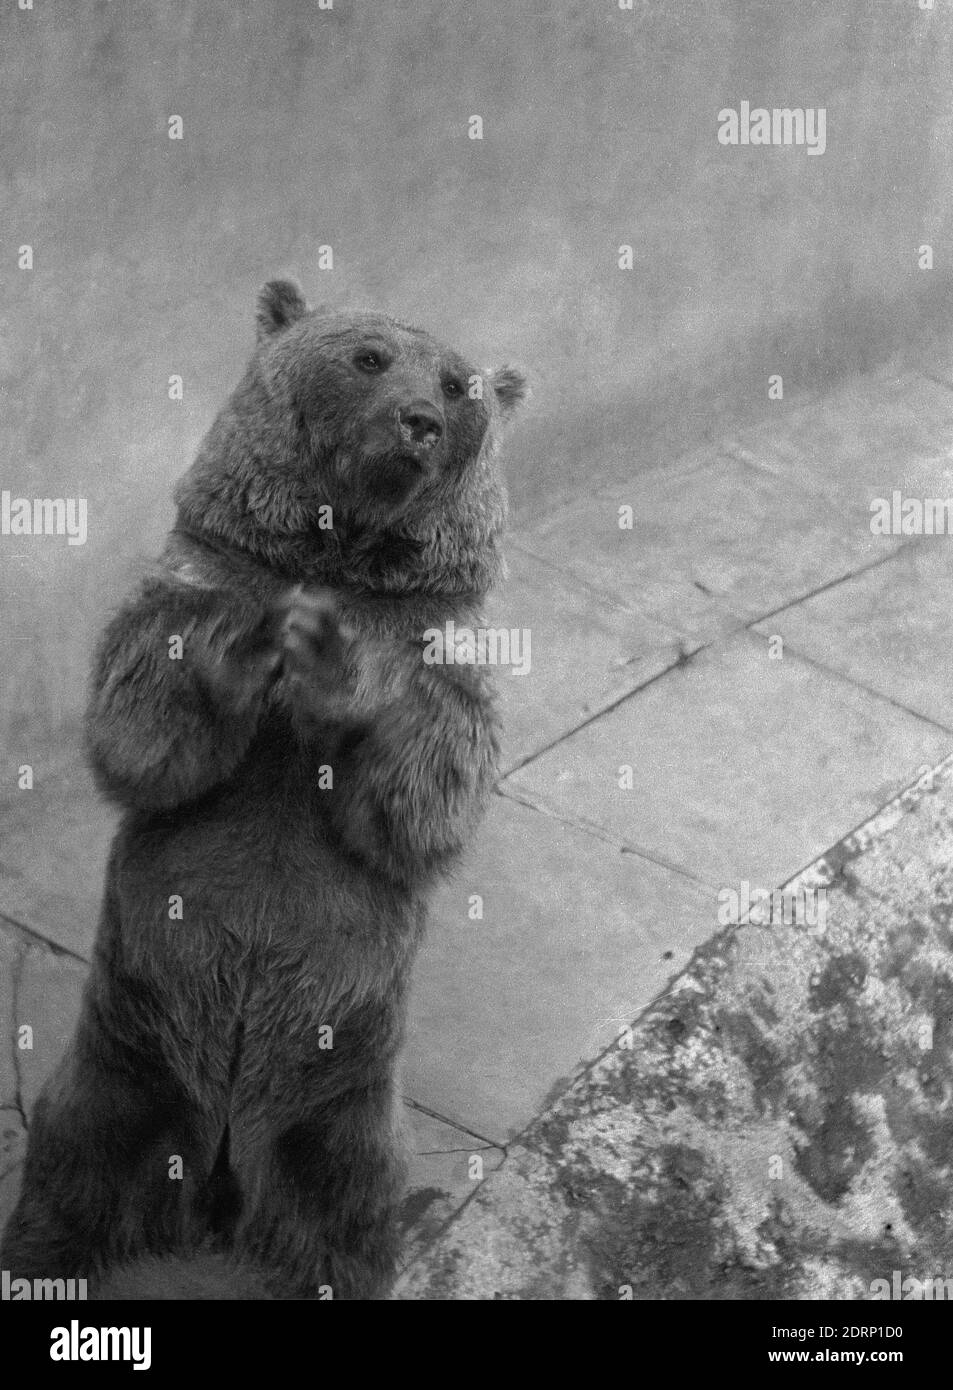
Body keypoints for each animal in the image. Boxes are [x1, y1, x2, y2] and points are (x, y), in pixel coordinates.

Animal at [0, 282, 530, 1301]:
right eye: (368, 356)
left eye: (459, 385)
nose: (420, 420)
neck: (339, 551)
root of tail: (217, 1177)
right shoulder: (195, 574)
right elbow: (143, 722)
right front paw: (246, 644)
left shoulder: (441, 646)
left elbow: (423, 795)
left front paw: (331, 671)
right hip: (126, 1052)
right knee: (73, 1161)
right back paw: (43, 1257)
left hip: (342, 1093)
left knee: (346, 1202)